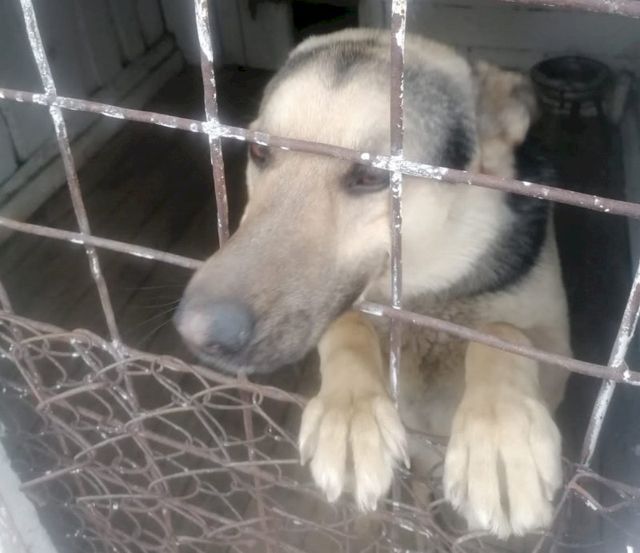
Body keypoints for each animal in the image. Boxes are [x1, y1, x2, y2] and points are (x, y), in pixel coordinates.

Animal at [175, 28, 571, 539]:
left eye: (370, 175)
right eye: (260, 151)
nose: (197, 331)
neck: (428, 296)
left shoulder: (559, 357)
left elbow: (502, 333)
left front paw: (500, 433)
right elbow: (347, 325)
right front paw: (350, 413)